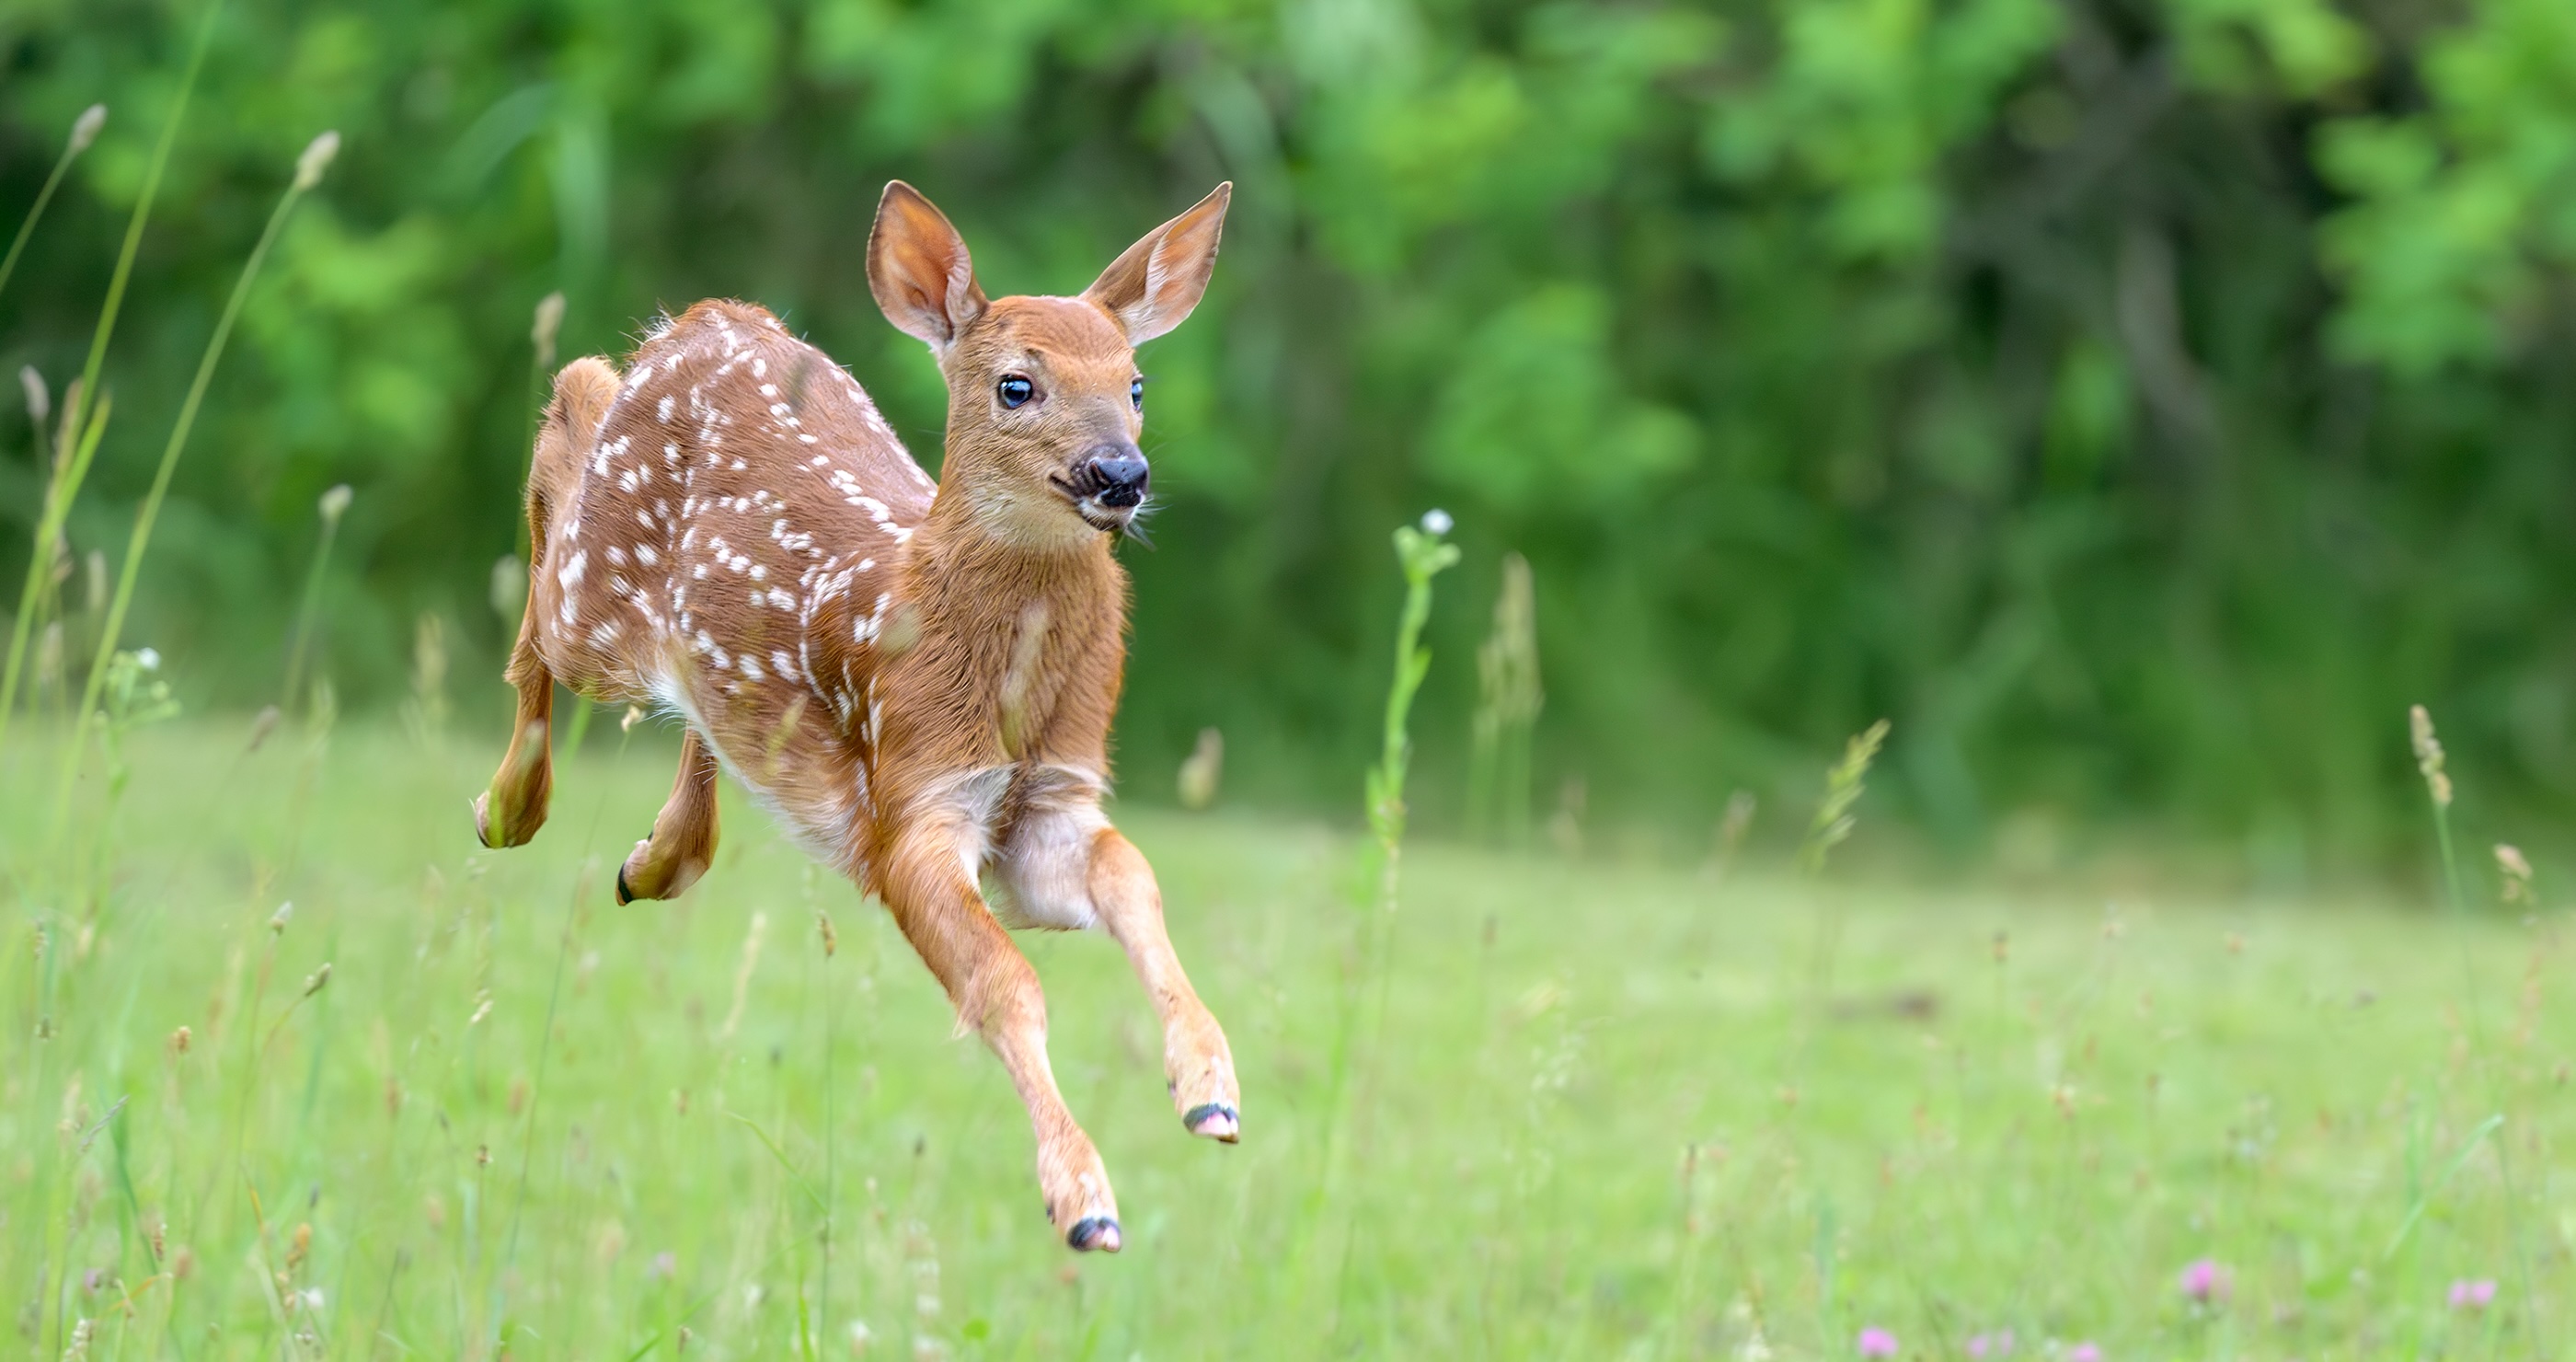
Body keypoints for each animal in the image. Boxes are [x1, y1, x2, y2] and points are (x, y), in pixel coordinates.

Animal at [473, 181, 1239, 1253]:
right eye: (1016, 386)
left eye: (1136, 384)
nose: (1119, 475)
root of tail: (707, 318)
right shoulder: (910, 806)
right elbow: (1005, 986)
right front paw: (1083, 1201)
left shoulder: (1051, 802)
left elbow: (1134, 881)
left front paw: (1210, 1088)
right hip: (597, 604)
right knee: (569, 436)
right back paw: (509, 805)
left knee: (702, 700)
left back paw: (657, 858)